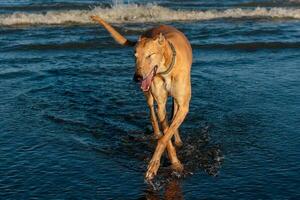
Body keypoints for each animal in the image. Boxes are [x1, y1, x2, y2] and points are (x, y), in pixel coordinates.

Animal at [90, 16, 192, 181]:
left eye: (149, 55)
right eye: (135, 56)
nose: (136, 78)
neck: (166, 69)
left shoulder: (184, 106)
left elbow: (167, 135)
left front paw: (167, 163)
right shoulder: (160, 106)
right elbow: (164, 136)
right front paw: (168, 162)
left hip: (175, 100)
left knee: (173, 115)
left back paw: (177, 139)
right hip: (149, 95)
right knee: (152, 112)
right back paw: (157, 132)